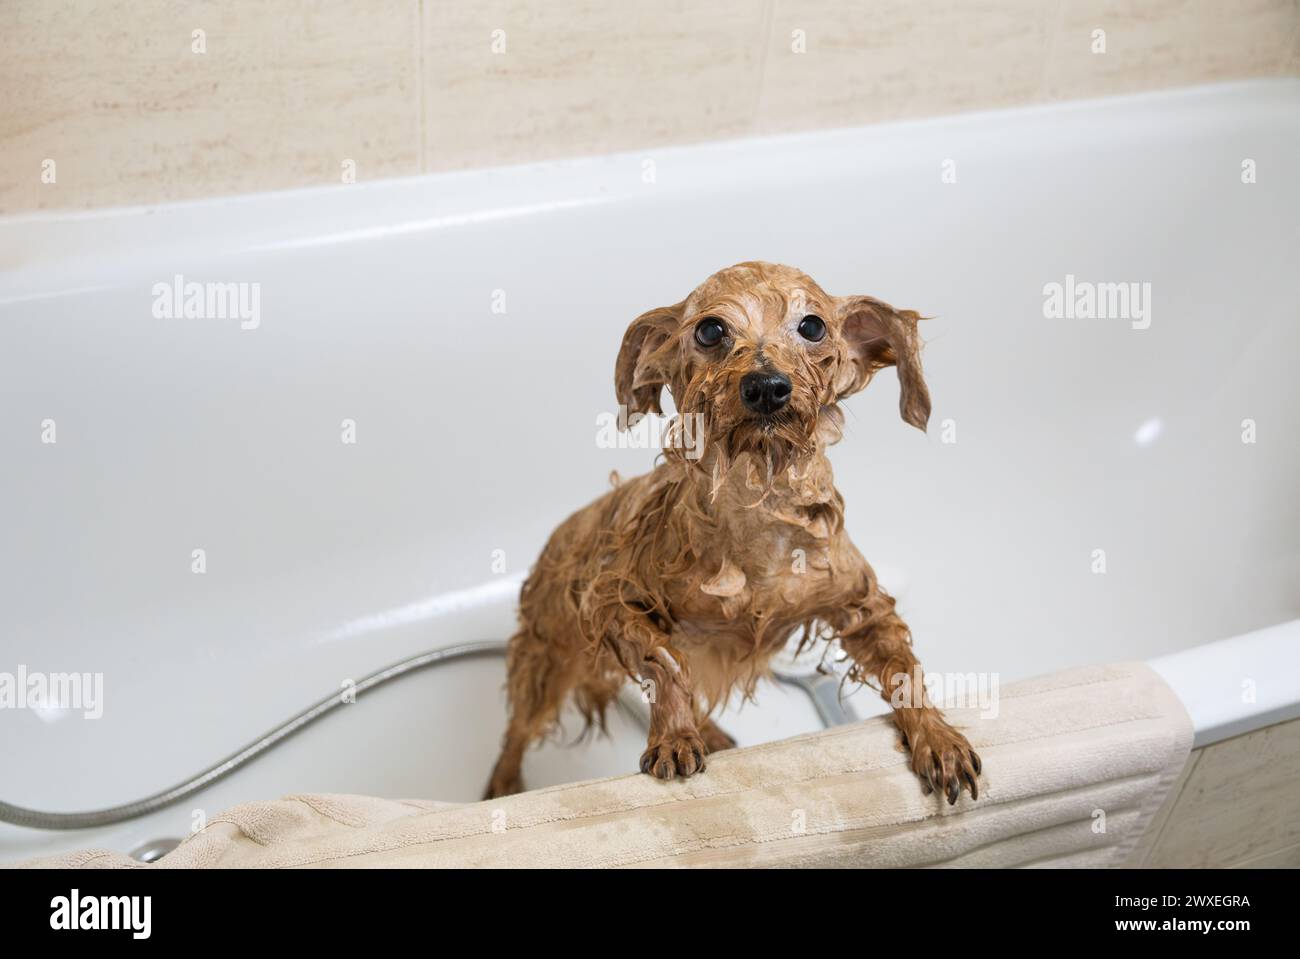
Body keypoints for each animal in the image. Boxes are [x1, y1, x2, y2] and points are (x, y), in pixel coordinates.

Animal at [488, 259, 982, 800]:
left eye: (813, 326)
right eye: (710, 330)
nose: (766, 384)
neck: (757, 512)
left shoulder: (862, 604)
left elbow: (903, 669)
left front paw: (938, 737)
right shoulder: (612, 599)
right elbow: (664, 661)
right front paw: (675, 736)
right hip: (548, 657)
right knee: (517, 731)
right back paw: (501, 785)